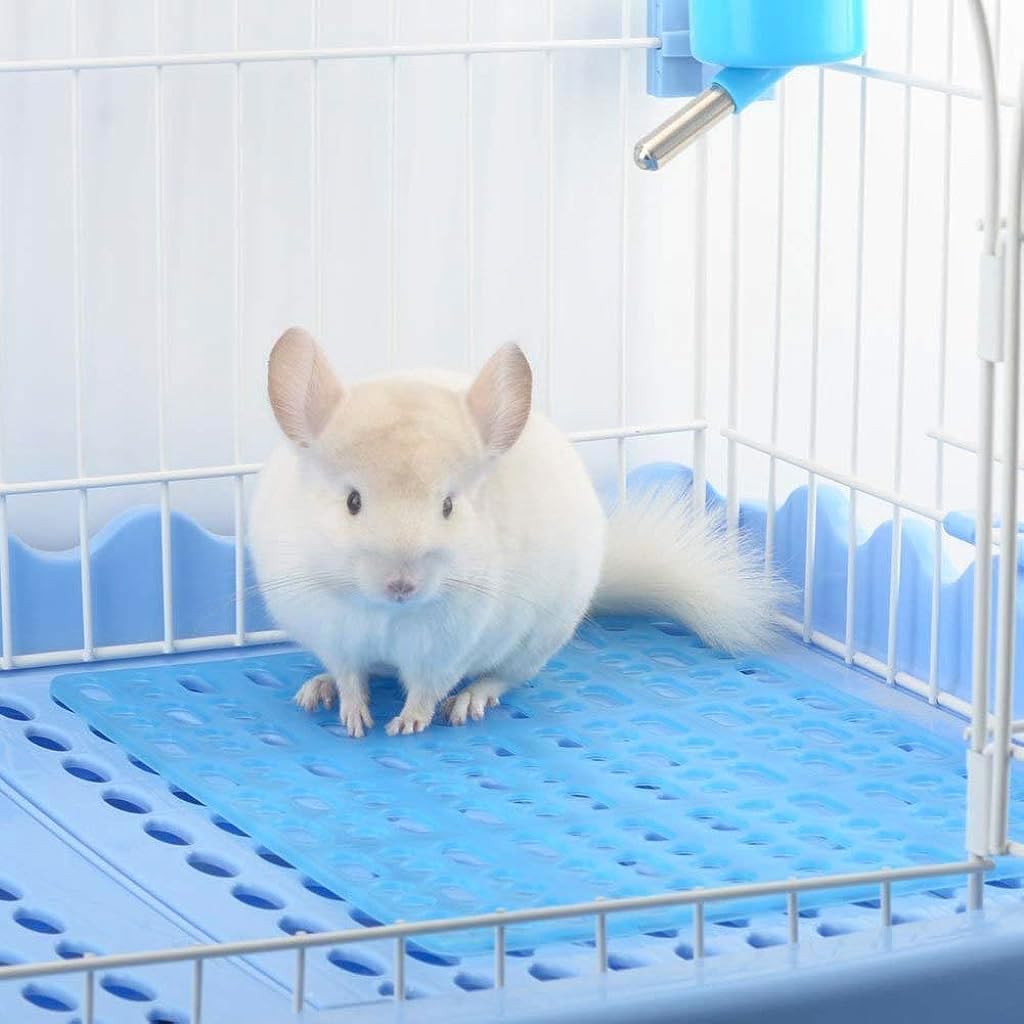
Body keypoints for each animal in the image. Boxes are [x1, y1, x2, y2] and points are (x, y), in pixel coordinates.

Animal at [249, 327, 779, 738]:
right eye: (352, 501)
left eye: (448, 505)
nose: (401, 585)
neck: (386, 615)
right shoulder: (334, 635)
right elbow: (350, 676)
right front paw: (353, 717)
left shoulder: (444, 650)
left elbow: (425, 689)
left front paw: (407, 724)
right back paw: (315, 688)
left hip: (537, 643)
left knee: (504, 679)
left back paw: (472, 701)